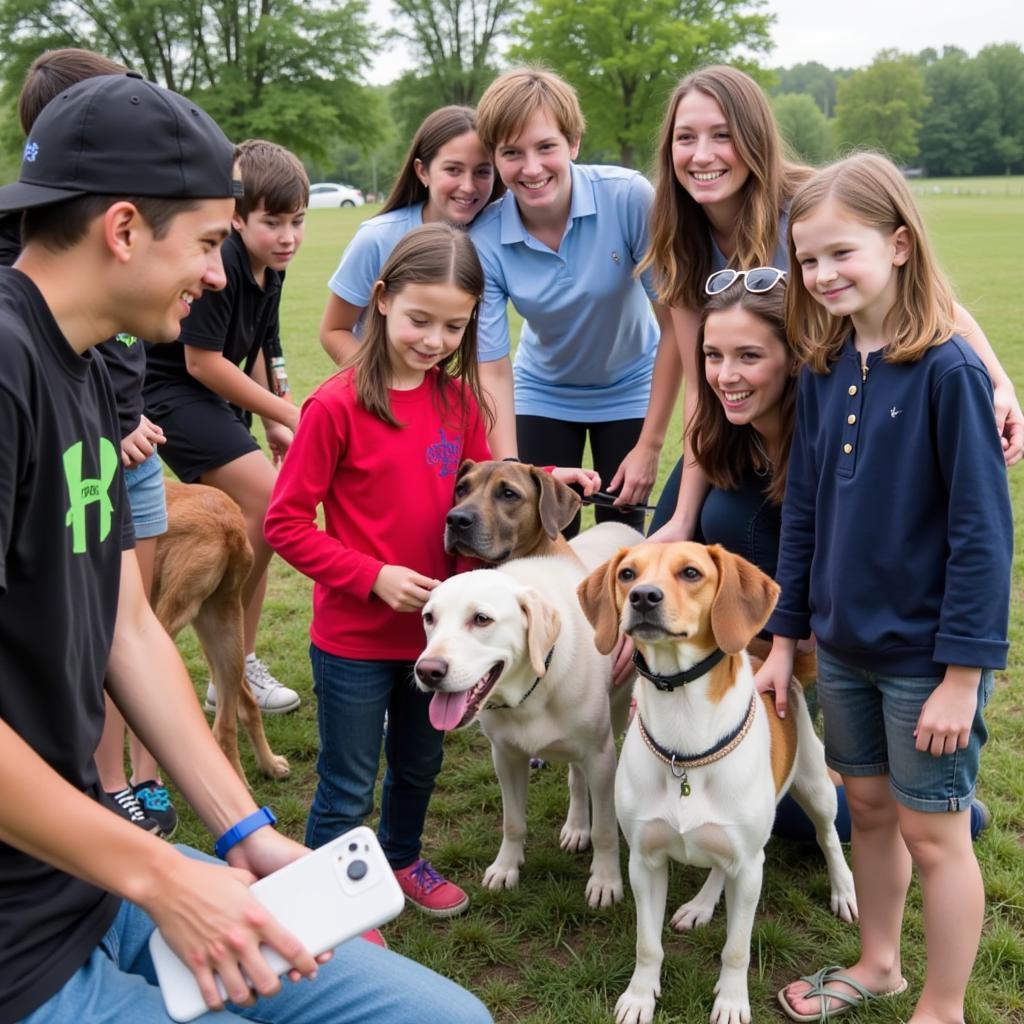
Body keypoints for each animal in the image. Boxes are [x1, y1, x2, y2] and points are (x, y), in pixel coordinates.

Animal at [577, 540, 856, 1019]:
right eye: (628, 574)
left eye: (691, 573)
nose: (644, 597)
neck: (683, 742)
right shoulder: (645, 863)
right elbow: (647, 944)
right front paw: (639, 996)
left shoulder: (749, 866)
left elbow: (736, 949)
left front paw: (731, 1001)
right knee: (719, 871)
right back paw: (702, 905)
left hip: (816, 788)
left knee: (828, 838)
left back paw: (843, 889)